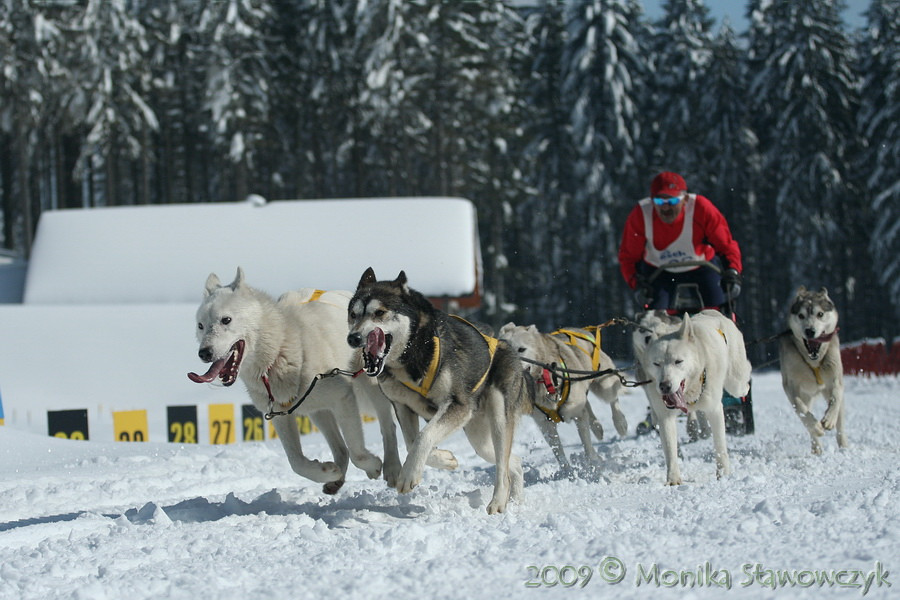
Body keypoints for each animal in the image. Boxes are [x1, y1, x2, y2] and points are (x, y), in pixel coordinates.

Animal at [188, 268, 402, 492]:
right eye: (201, 326)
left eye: (226, 320)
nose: (204, 353)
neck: (280, 351)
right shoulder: (279, 414)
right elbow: (296, 462)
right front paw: (326, 472)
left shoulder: (343, 399)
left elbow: (358, 452)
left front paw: (373, 465)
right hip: (317, 410)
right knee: (340, 448)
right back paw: (335, 477)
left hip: (370, 386)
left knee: (387, 426)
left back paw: (392, 468)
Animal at [346, 270, 536, 512]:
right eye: (353, 314)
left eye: (379, 312)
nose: (353, 338)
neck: (412, 356)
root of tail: (508, 348)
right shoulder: (403, 406)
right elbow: (412, 441)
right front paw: (444, 459)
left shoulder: (457, 405)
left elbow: (423, 436)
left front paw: (409, 474)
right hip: (479, 438)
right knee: (514, 462)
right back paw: (516, 500)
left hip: (498, 417)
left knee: (503, 467)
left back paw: (498, 502)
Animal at [500, 324, 624, 474]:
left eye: (521, 349)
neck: (545, 379)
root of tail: (581, 329)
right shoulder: (545, 424)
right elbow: (558, 451)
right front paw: (567, 471)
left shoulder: (578, 414)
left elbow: (586, 443)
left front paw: (593, 463)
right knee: (588, 406)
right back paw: (597, 427)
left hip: (604, 384)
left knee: (613, 398)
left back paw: (620, 423)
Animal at [640, 312, 752, 486]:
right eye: (656, 363)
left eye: (678, 361)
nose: (664, 386)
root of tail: (711, 312)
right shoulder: (666, 416)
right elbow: (670, 450)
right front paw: (673, 479)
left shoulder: (715, 409)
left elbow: (720, 446)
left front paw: (723, 474)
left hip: (735, 381)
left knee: (741, 383)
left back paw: (747, 386)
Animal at [776, 288, 848, 452]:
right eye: (801, 315)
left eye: (820, 314)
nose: (809, 330)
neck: (813, 362)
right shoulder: (791, 385)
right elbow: (801, 409)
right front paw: (816, 427)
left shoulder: (835, 378)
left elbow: (835, 398)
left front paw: (829, 419)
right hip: (806, 396)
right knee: (805, 417)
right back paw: (817, 446)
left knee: (840, 422)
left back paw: (844, 447)